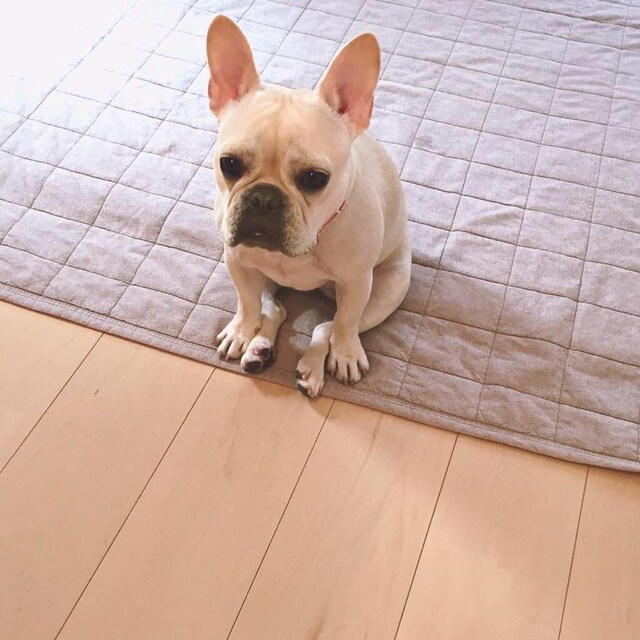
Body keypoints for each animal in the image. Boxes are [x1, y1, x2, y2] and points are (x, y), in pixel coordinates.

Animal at [206, 15, 411, 398]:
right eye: (229, 164)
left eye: (315, 178)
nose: (264, 197)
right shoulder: (238, 261)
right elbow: (247, 303)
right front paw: (242, 331)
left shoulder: (357, 284)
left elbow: (343, 324)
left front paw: (345, 353)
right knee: (274, 310)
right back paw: (259, 347)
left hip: (388, 291)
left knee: (325, 328)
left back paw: (312, 368)